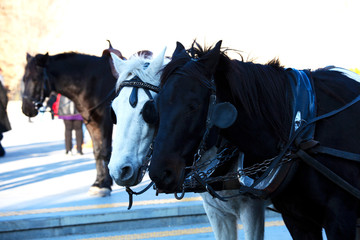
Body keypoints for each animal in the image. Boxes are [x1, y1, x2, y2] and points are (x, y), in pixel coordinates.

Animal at [22, 42, 124, 197]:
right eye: (24, 79)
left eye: (35, 79)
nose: (26, 108)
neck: (93, 82)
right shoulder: (91, 123)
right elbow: (97, 150)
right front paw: (100, 182)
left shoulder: (104, 121)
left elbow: (105, 151)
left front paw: (104, 184)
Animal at [146, 41, 360, 238]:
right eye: (155, 105)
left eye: (193, 106)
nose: (159, 173)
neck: (299, 128)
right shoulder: (296, 219)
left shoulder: (340, 218)